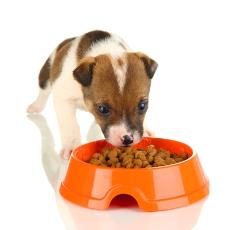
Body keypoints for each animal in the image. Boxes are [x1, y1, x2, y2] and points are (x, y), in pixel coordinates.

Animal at [26, 30, 156, 159]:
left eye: (142, 106)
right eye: (103, 109)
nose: (128, 139)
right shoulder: (63, 98)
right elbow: (70, 125)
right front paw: (71, 146)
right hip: (46, 74)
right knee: (43, 92)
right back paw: (35, 106)